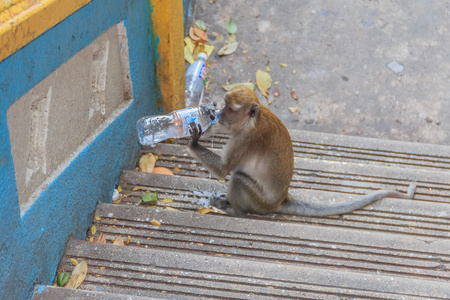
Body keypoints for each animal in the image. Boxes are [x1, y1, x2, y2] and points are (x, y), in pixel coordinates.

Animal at [185, 85, 414, 217]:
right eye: (224, 104)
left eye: (230, 108)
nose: (220, 113)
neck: (252, 121)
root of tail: (281, 199)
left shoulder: (246, 140)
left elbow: (223, 169)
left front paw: (193, 141)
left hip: (260, 202)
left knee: (238, 178)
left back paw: (235, 210)